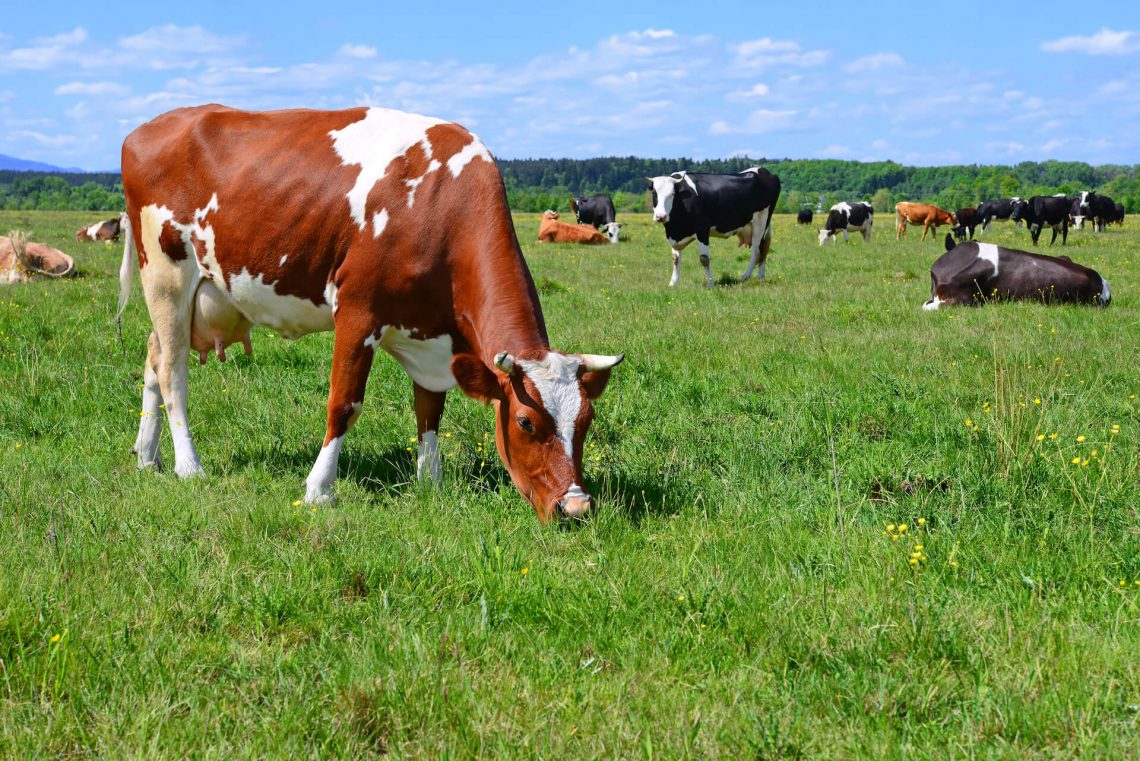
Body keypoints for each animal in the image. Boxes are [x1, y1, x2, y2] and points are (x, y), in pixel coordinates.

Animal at [115, 104, 624, 524]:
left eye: (586, 422)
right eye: (525, 423)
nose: (576, 507)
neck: (442, 207)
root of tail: (149, 127)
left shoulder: (433, 333)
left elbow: (429, 411)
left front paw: (430, 484)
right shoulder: (358, 312)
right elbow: (344, 403)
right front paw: (318, 490)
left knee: (152, 358)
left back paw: (146, 456)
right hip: (165, 276)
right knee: (172, 372)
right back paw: (188, 465)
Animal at [647, 167, 779, 287]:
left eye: (672, 194)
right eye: (654, 194)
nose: (661, 216)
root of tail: (765, 171)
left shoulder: (702, 229)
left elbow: (704, 259)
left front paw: (710, 283)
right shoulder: (674, 235)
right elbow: (675, 259)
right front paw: (673, 283)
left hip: (761, 220)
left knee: (756, 251)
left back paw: (745, 276)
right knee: (764, 249)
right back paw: (760, 277)